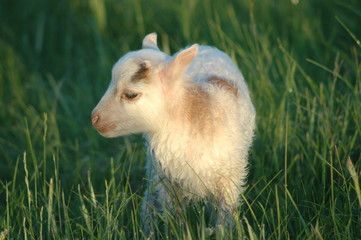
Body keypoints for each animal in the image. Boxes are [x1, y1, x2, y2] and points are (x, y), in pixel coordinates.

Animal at [90, 33, 255, 232]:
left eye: (130, 95)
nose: (94, 119)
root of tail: (207, 47)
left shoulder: (230, 178)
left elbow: (224, 217)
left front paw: (222, 232)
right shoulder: (167, 180)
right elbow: (174, 217)